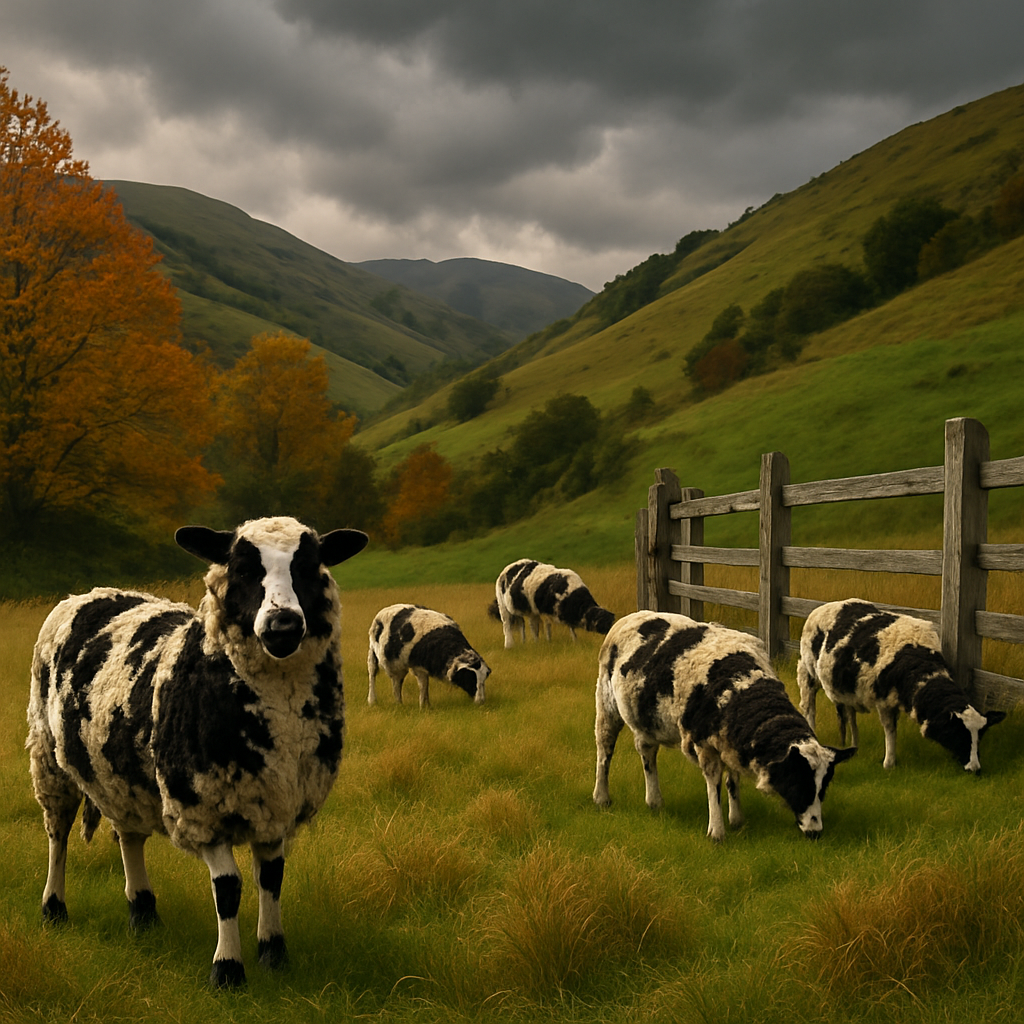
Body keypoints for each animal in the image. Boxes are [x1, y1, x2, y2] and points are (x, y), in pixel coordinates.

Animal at [25, 516, 367, 987]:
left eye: (310, 567)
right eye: (243, 568)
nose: (283, 626)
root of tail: (90, 593)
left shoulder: (274, 805)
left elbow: (271, 878)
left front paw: (273, 952)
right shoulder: (201, 808)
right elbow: (229, 887)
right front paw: (228, 969)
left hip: (120, 778)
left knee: (128, 836)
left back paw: (143, 911)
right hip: (48, 759)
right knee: (57, 835)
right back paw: (53, 908)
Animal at [593, 611, 855, 841]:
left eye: (824, 786)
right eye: (797, 780)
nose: (815, 832)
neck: (741, 688)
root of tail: (632, 616)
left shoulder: (730, 740)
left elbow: (733, 779)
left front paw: (737, 819)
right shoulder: (704, 744)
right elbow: (714, 782)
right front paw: (717, 831)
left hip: (643, 719)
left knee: (646, 751)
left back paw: (654, 801)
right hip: (607, 703)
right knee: (605, 750)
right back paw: (602, 797)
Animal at [797, 598, 1005, 772]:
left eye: (980, 736)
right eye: (959, 733)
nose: (975, 768)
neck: (917, 662)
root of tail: (822, 607)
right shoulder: (883, 700)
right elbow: (890, 730)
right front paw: (889, 763)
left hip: (846, 688)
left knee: (850, 715)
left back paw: (854, 745)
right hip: (808, 672)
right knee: (809, 707)